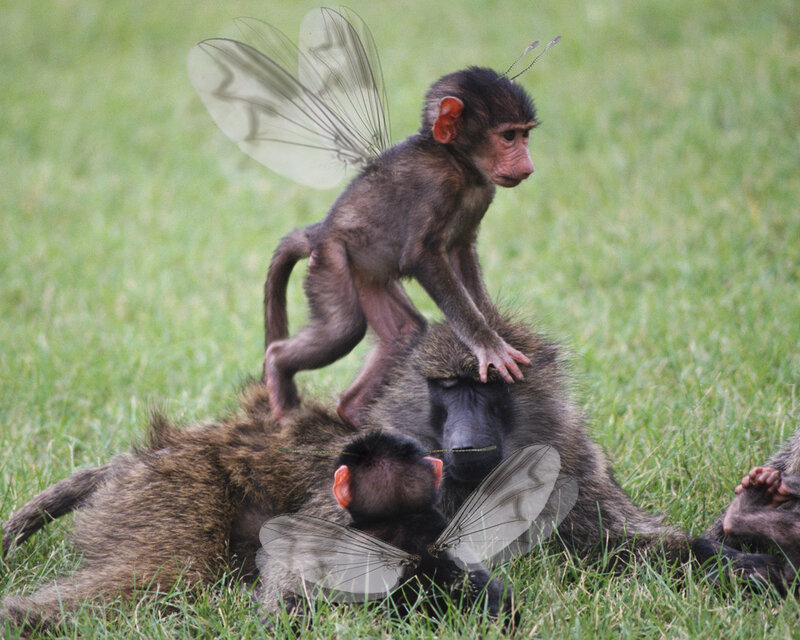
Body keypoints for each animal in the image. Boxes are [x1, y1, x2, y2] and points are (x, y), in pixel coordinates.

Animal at [263, 66, 535, 426]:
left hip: (365, 275)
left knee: (404, 332)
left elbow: (462, 250)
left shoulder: (481, 196)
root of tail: (320, 231)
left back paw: (354, 414)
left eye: (525, 135)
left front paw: (495, 323)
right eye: (508, 137)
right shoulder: (437, 187)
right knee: (344, 328)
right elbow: (420, 255)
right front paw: (489, 346)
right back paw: (278, 372)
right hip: (331, 261)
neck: (456, 162)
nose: (528, 167)